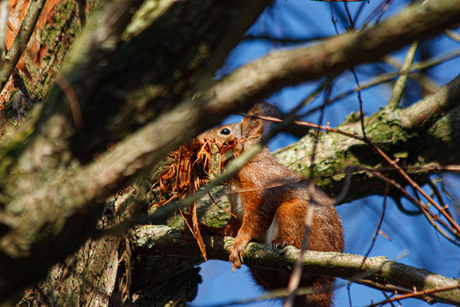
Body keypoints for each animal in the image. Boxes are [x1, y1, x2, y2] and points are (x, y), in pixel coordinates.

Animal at [196, 103, 344, 307]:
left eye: (225, 131)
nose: (197, 140)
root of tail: (324, 282)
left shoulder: (259, 188)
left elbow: (256, 219)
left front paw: (239, 243)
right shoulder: (236, 210)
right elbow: (230, 228)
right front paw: (208, 229)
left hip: (297, 213)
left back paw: (286, 241)